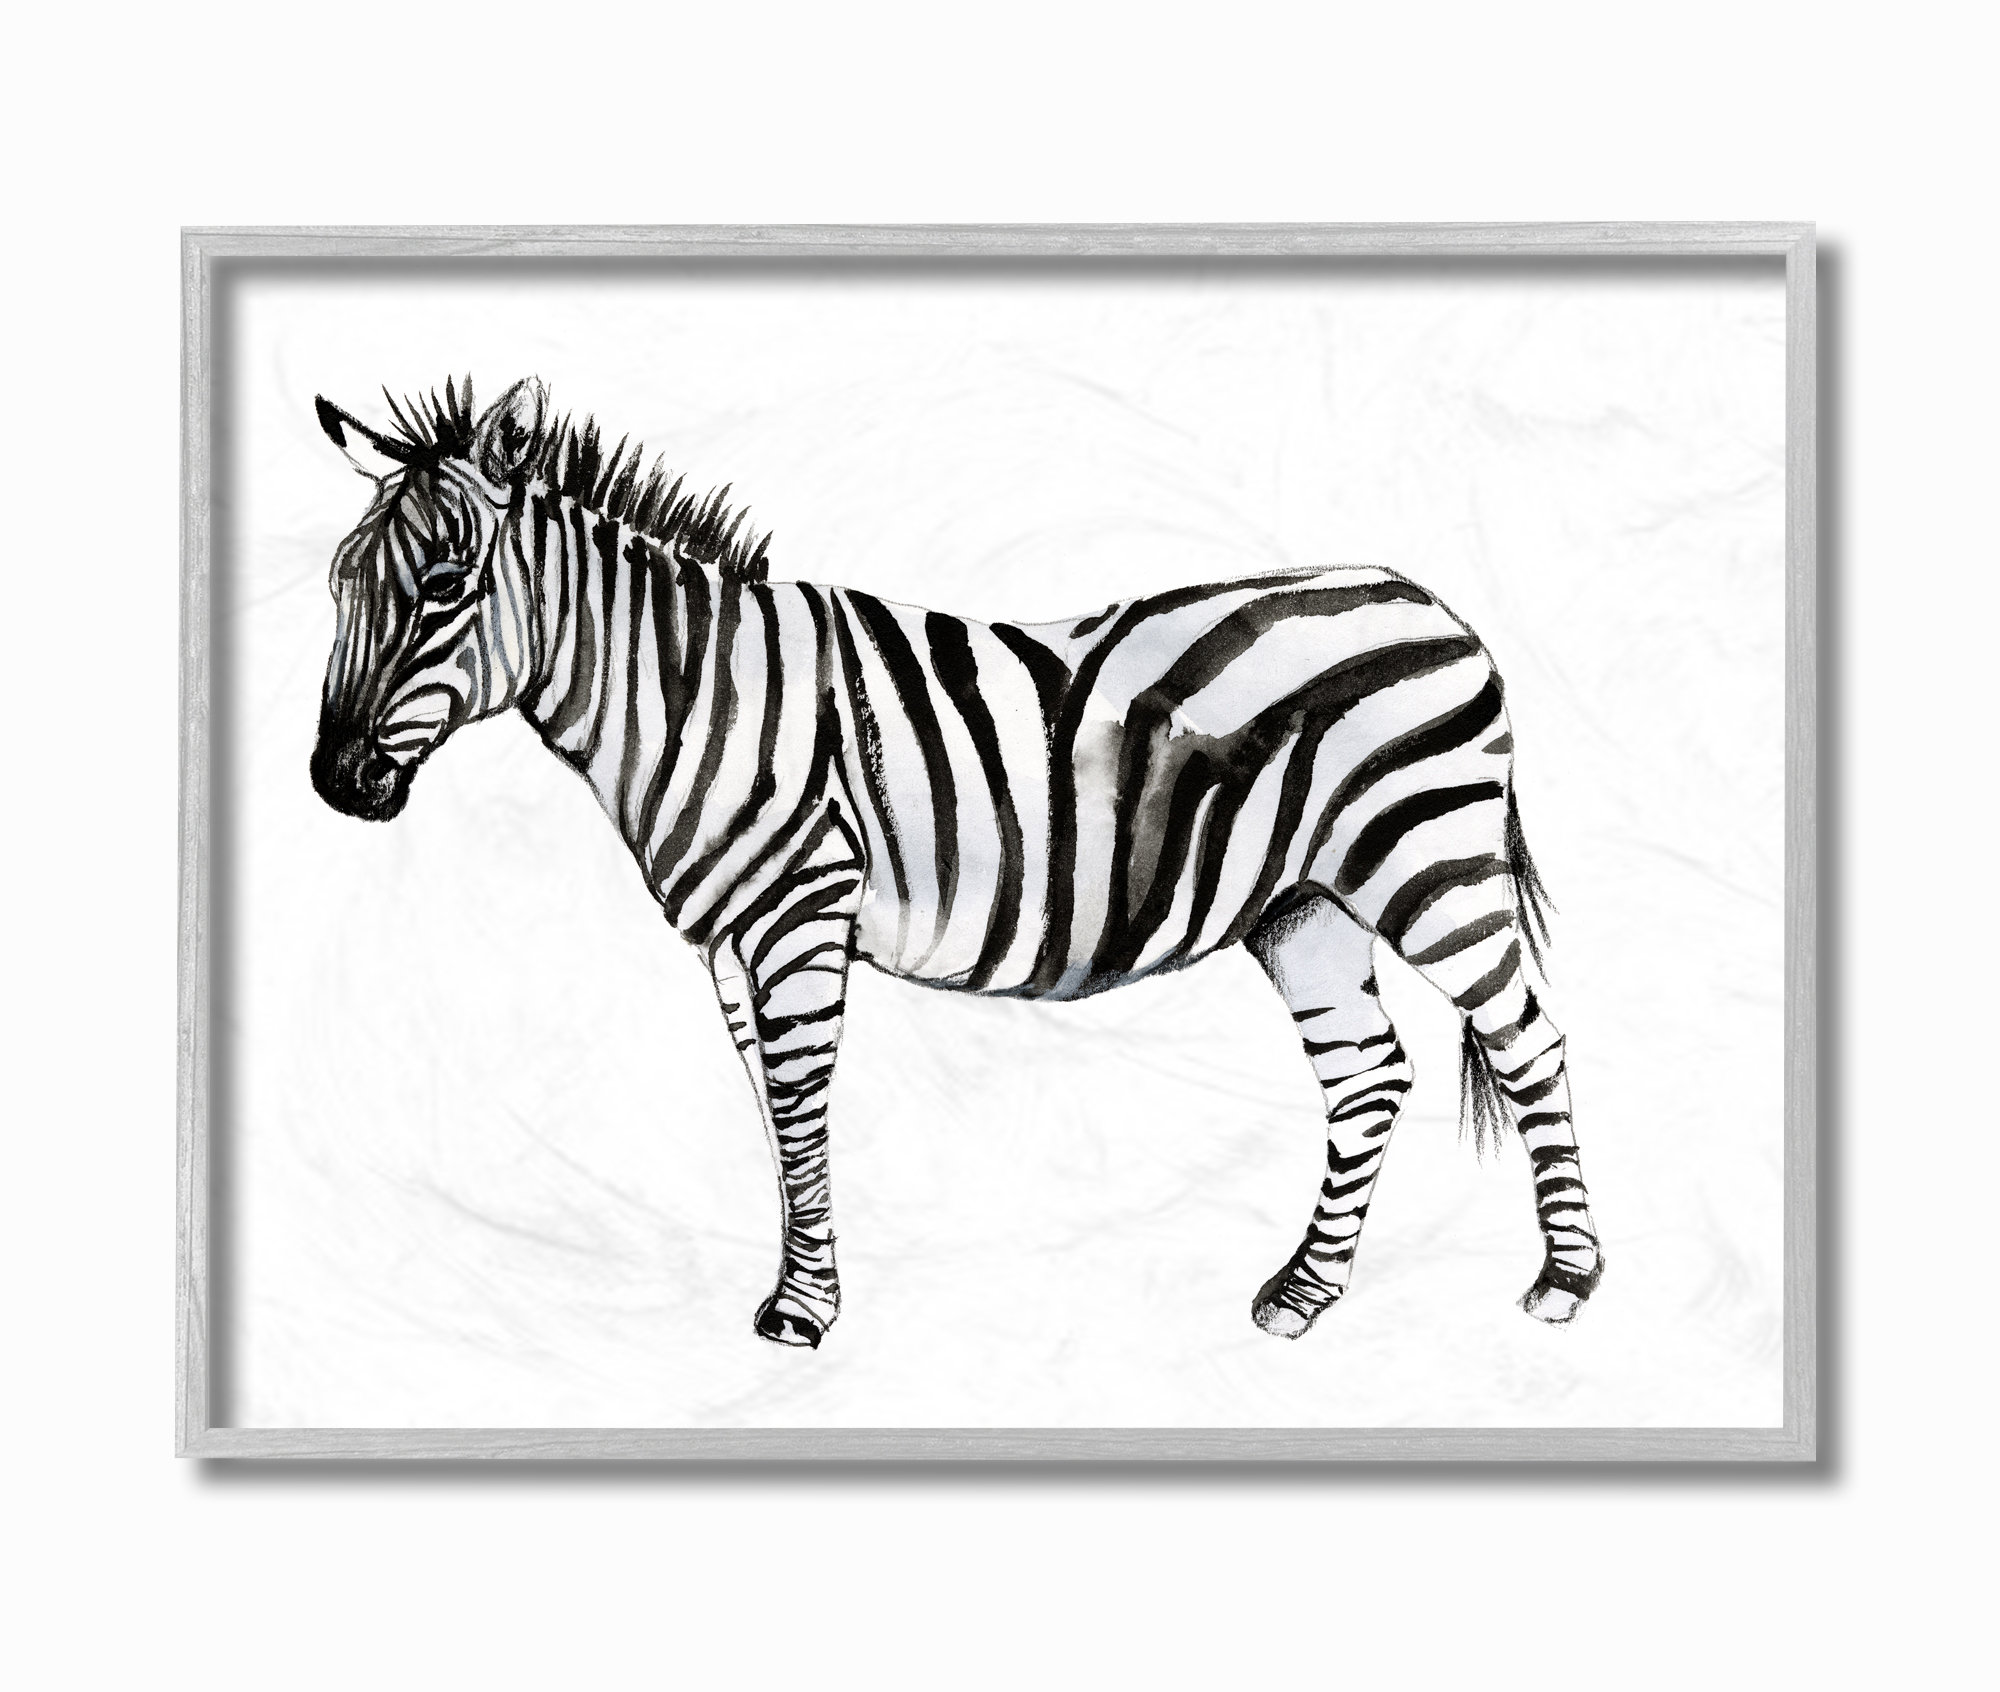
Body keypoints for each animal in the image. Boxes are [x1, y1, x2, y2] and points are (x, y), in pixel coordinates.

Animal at [310, 375, 1604, 1349]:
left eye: (442, 589)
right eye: (339, 586)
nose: (333, 782)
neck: (691, 698)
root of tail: (1426, 599)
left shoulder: (799, 912)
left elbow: (798, 1104)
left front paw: (803, 1309)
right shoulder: (729, 939)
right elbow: (768, 1110)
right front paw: (803, 1276)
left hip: (1425, 861)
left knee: (1525, 1036)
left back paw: (1566, 1281)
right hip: (1304, 904)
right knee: (1367, 1073)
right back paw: (1303, 1291)